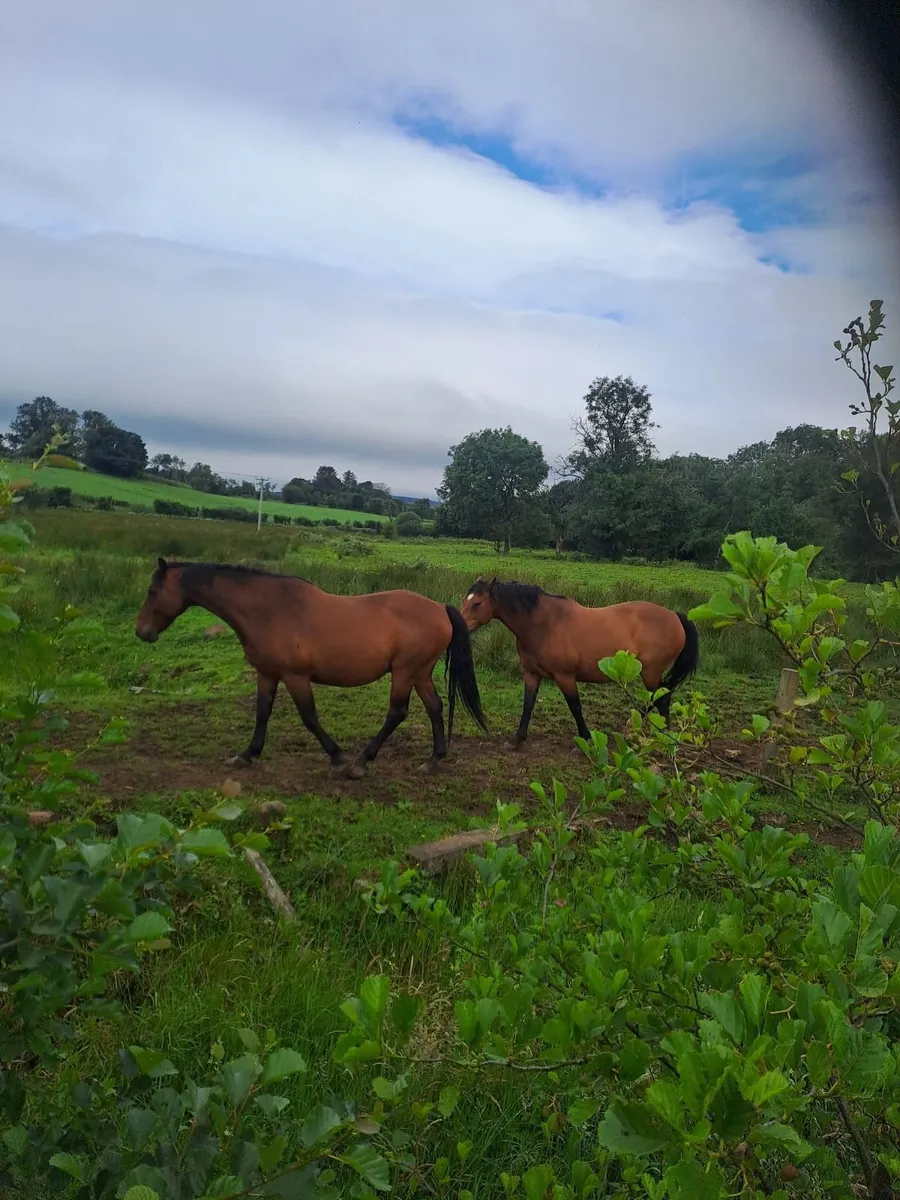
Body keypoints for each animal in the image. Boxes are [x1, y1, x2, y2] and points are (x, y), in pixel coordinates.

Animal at [135, 558, 487, 778]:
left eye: (152, 592)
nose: (142, 632)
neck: (269, 610)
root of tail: (440, 608)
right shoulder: (268, 674)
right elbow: (262, 712)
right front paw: (247, 754)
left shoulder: (295, 677)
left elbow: (309, 717)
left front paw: (337, 758)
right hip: (419, 672)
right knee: (435, 707)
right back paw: (433, 760)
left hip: (404, 672)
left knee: (397, 712)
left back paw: (361, 763)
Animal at [459, 576, 698, 746]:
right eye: (465, 600)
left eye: (477, 603)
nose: (459, 625)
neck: (544, 624)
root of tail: (676, 616)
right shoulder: (531, 674)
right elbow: (528, 705)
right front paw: (517, 739)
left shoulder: (565, 676)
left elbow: (575, 707)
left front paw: (586, 737)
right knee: (656, 698)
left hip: (650, 672)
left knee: (661, 699)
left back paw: (662, 737)